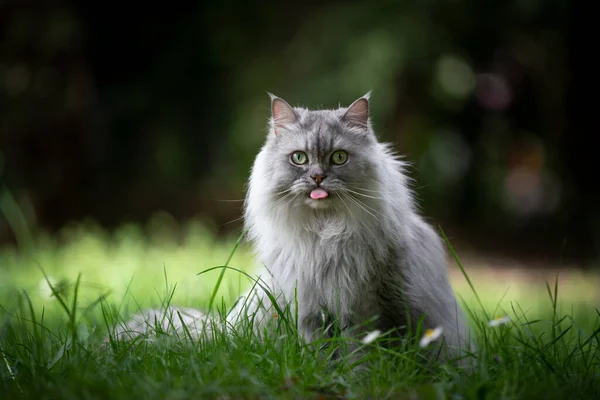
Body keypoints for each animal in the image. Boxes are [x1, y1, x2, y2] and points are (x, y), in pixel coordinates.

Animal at [109, 93, 474, 366]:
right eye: (299, 158)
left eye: (339, 158)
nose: (317, 178)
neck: (323, 236)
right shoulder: (311, 310)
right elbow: (321, 354)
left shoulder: (366, 310)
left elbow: (360, 356)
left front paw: (356, 379)